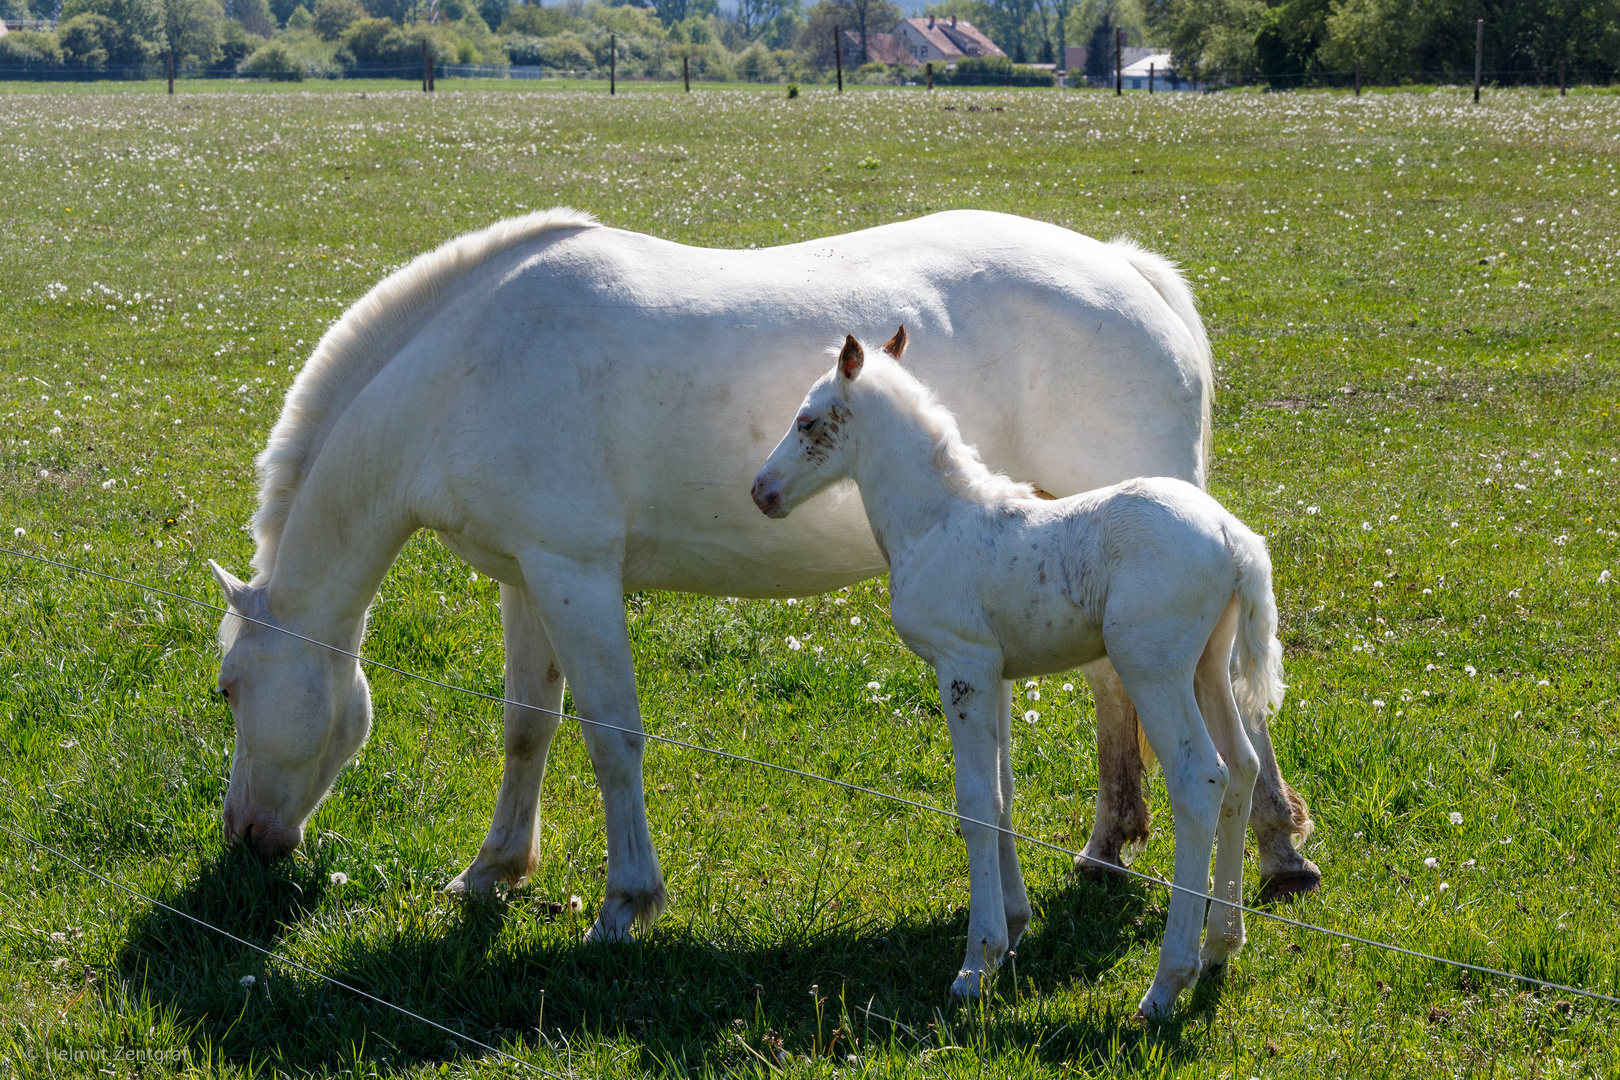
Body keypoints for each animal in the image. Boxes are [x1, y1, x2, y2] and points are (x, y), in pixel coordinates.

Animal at [751, 327, 1283, 1016]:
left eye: (807, 420)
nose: (762, 491)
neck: (937, 523)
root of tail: (1233, 536)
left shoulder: (962, 665)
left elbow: (976, 800)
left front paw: (975, 965)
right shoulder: (996, 673)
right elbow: (1003, 790)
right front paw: (1013, 928)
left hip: (1152, 666)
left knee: (1200, 779)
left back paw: (1167, 984)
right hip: (1207, 665)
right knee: (1242, 768)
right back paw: (1222, 944)